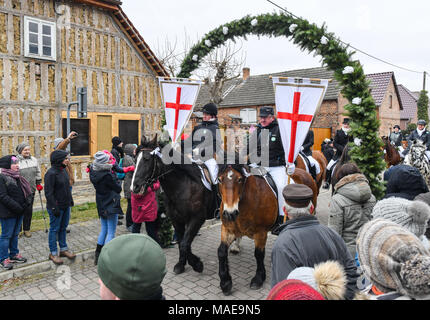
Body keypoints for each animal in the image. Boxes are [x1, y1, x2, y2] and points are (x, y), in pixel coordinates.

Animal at [217, 165, 318, 296]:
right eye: (219, 180)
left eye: (239, 179)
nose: (230, 213)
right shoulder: (228, 229)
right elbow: (221, 251)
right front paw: (225, 283)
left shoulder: (260, 232)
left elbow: (259, 254)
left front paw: (258, 278)